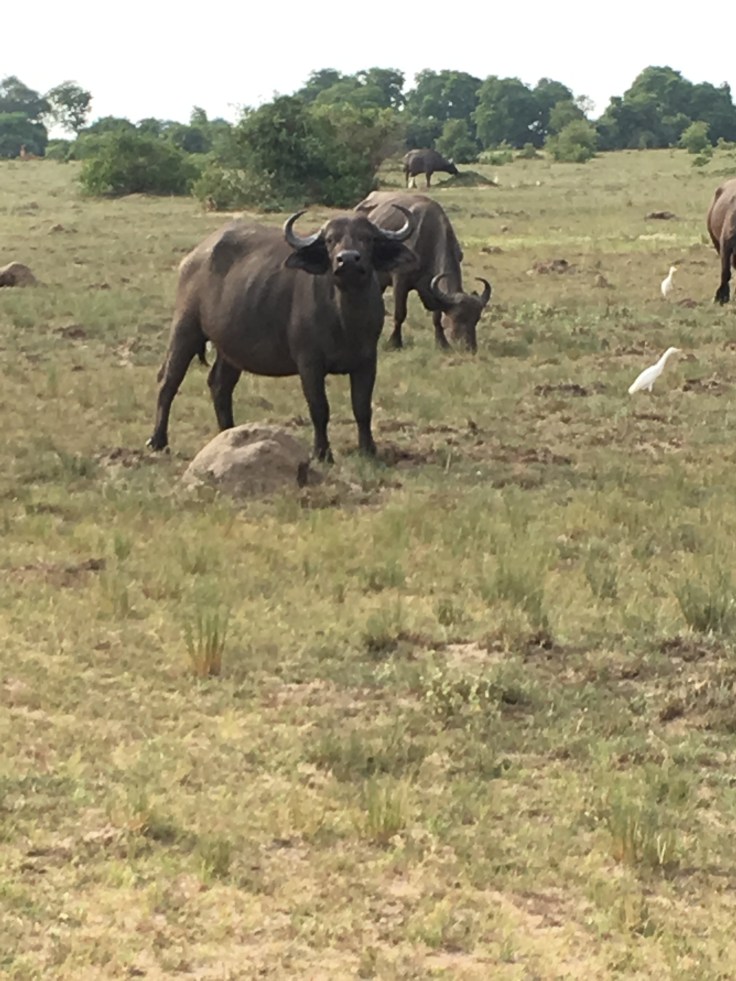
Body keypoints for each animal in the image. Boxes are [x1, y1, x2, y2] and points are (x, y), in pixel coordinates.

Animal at [148, 209, 416, 462]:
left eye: (367, 238)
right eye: (330, 240)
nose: (347, 259)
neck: (345, 319)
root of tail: (194, 256)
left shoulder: (367, 361)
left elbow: (362, 407)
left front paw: (369, 449)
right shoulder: (309, 363)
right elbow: (319, 408)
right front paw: (322, 453)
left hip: (231, 348)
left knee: (220, 385)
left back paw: (228, 434)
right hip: (185, 328)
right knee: (168, 380)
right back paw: (158, 441)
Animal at [355, 191, 492, 351]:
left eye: (477, 318)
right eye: (457, 317)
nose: (469, 347)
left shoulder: (433, 287)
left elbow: (436, 317)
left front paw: (442, 343)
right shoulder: (400, 279)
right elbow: (400, 313)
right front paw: (394, 342)